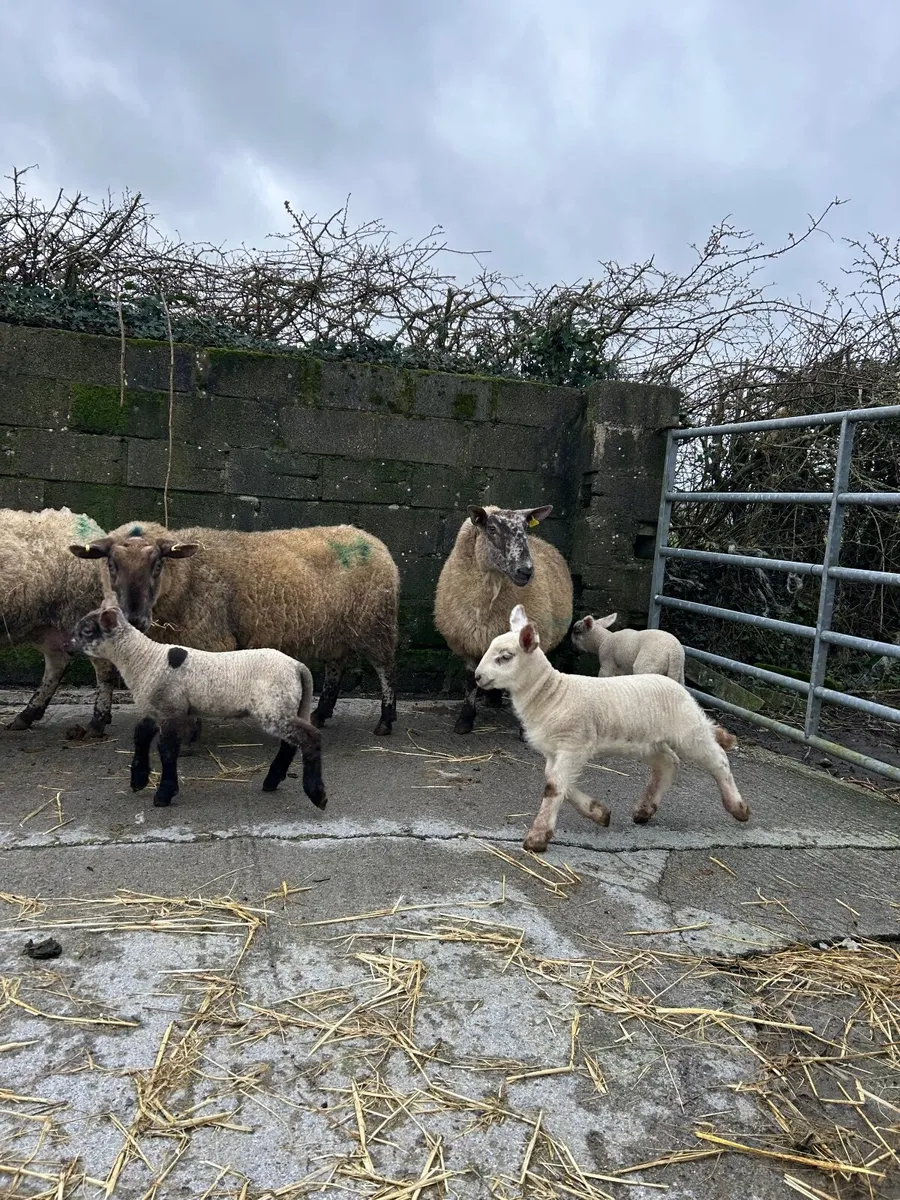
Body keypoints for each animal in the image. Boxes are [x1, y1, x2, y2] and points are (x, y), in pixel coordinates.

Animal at [0, 506, 117, 735]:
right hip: (44, 624)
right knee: (57, 661)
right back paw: (26, 715)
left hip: (80, 609)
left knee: (103, 666)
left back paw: (97, 723)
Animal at [66, 601, 326, 810]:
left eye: (87, 631)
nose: (68, 647)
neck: (144, 658)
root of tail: (297, 667)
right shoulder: (157, 707)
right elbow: (140, 735)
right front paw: (139, 779)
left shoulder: (171, 708)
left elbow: (167, 749)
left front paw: (164, 794)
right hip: (283, 706)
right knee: (290, 743)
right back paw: (272, 781)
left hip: (273, 706)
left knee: (310, 737)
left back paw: (317, 795)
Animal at [69, 521, 400, 736]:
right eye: (111, 564)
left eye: (158, 565)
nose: (135, 619)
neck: (188, 577)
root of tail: (373, 540)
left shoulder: (207, 639)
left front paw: (189, 735)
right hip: (337, 628)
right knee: (336, 666)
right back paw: (321, 713)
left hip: (376, 623)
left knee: (385, 668)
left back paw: (385, 720)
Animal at [434, 504, 573, 734]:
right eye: (491, 529)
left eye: (525, 528)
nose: (526, 571)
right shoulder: (468, 640)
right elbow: (471, 681)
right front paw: (464, 721)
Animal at [474, 604, 749, 852]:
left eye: (506, 657)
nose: (477, 676)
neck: (551, 694)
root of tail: (679, 685)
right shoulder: (555, 751)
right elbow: (558, 783)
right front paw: (599, 813)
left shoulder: (573, 744)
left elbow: (553, 786)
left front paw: (537, 838)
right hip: (647, 742)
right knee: (668, 763)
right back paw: (644, 810)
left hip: (688, 730)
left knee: (718, 759)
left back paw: (739, 808)